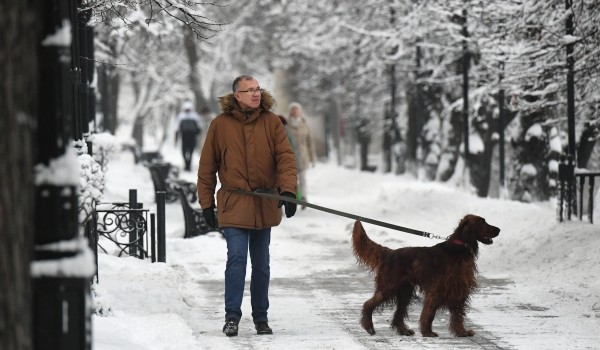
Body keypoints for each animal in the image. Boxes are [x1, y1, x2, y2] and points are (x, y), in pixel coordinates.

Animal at [352, 213, 502, 336]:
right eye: (482, 222)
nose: (499, 229)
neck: (459, 247)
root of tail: (390, 253)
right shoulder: (437, 288)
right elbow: (429, 313)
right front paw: (427, 332)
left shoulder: (459, 288)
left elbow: (458, 314)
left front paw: (461, 332)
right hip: (389, 286)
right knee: (368, 304)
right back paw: (369, 327)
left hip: (405, 291)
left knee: (399, 312)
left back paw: (404, 330)